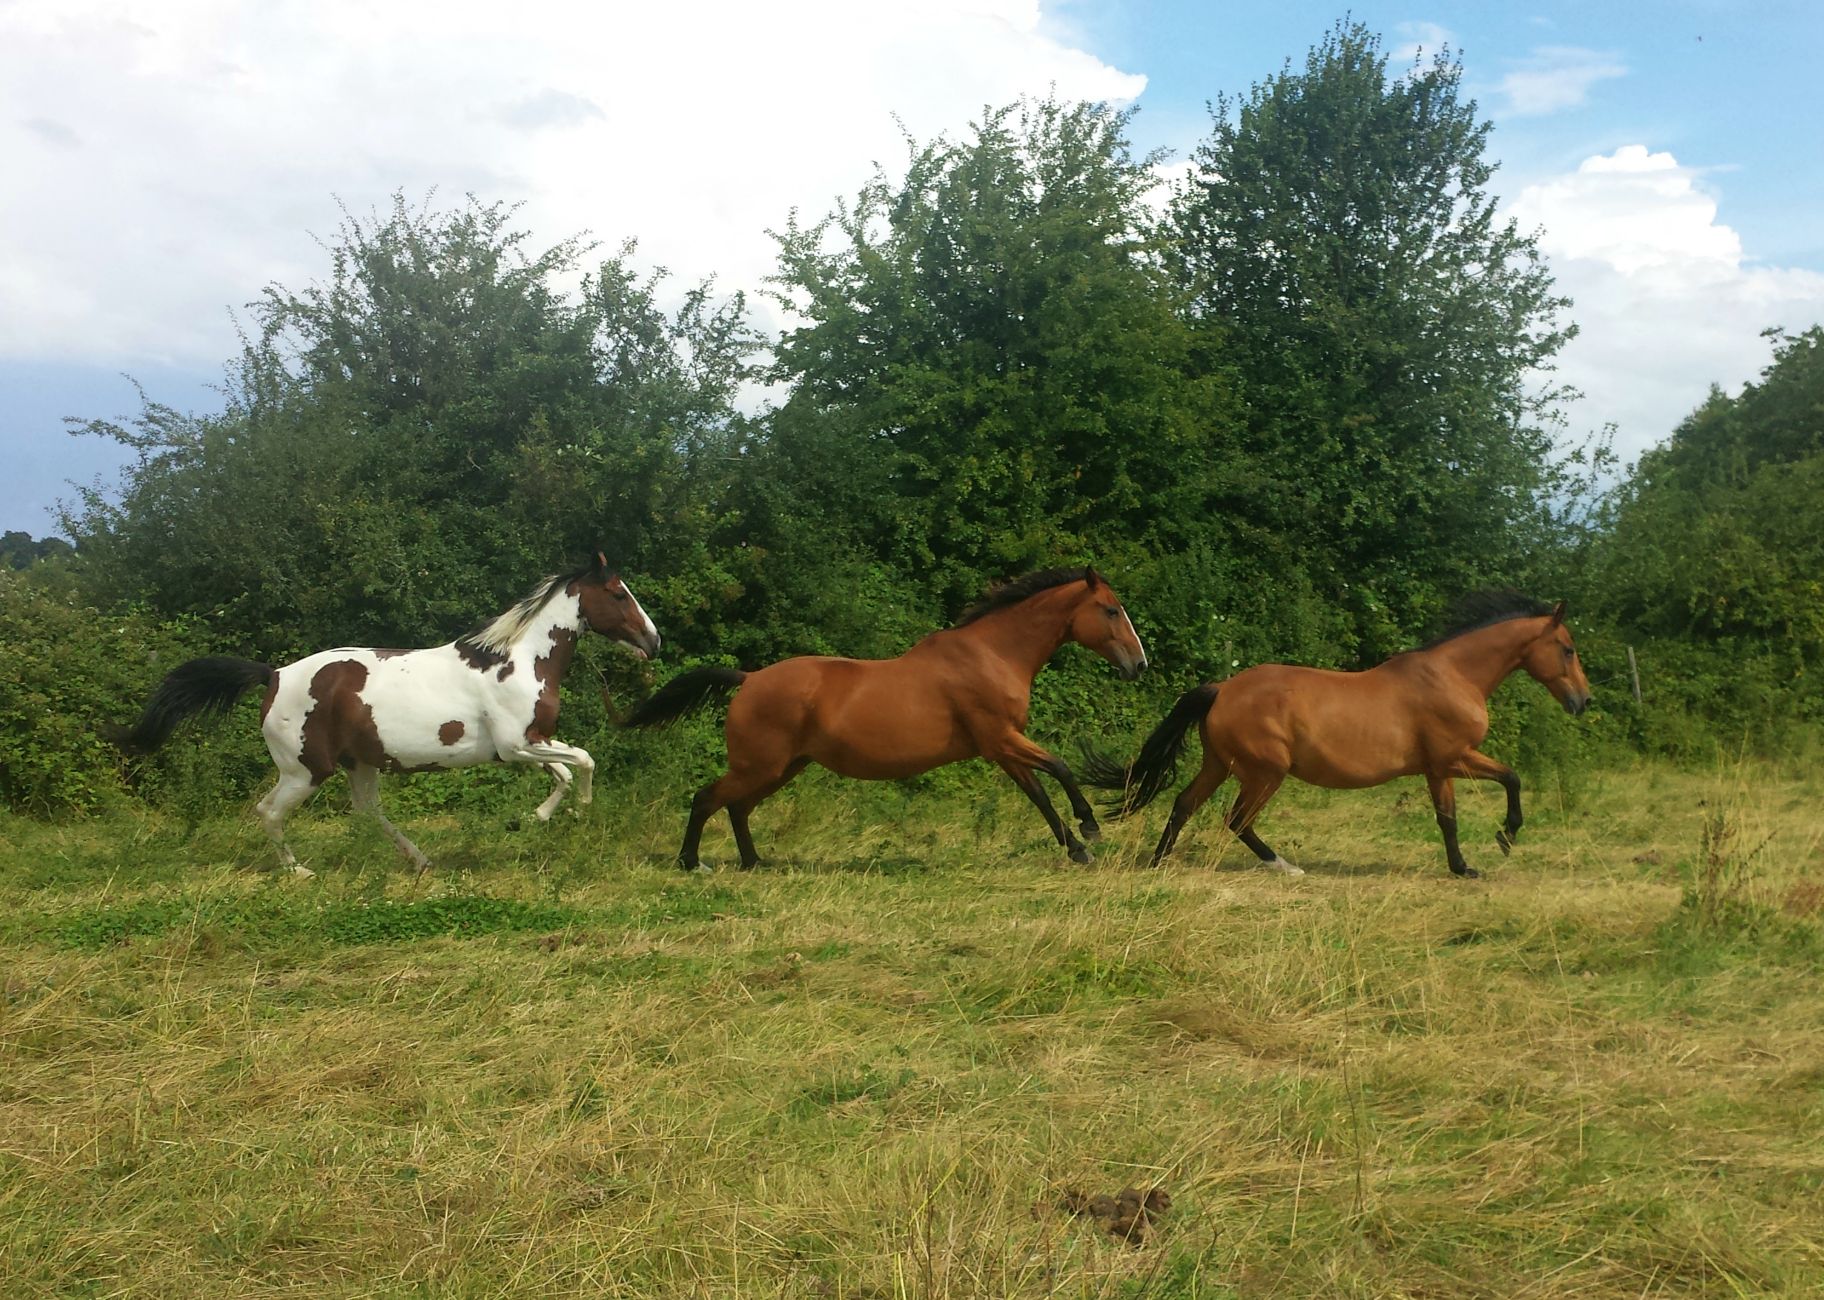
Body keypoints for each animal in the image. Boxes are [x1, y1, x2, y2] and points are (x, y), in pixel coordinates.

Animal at [114, 554, 660, 878]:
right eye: (619, 594)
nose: (653, 641)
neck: (517, 659)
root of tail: (273, 676)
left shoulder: (531, 741)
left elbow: (564, 772)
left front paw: (535, 818)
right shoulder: (516, 744)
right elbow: (584, 761)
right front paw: (577, 812)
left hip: (360, 764)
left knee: (368, 811)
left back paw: (420, 860)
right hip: (305, 772)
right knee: (270, 812)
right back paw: (299, 872)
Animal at [620, 568, 1145, 871]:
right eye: (1111, 610)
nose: (1139, 665)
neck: (992, 654)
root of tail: (748, 678)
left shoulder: (1000, 747)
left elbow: (1038, 794)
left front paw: (1076, 848)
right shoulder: (1002, 738)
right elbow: (1059, 767)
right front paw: (1089, 828)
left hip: (782, 768)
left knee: (737, 808)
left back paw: (755, 862)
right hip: (760, 766)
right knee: (707, 799)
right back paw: (692, 862)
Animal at [1087, 594, 1590, 878]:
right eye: (1567, 649)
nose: (1583, 701)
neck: (1453, 676)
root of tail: (1222, 689)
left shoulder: (1439, 768)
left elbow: (1448, 817)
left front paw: (1464, 866)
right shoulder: (1453, 757)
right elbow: (1510, 779)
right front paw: (1502, 840)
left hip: (1220, 765)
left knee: (1184, 804)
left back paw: (1159, 863)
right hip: (1265, 772)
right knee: (1237, 819)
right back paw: (1285, 868)